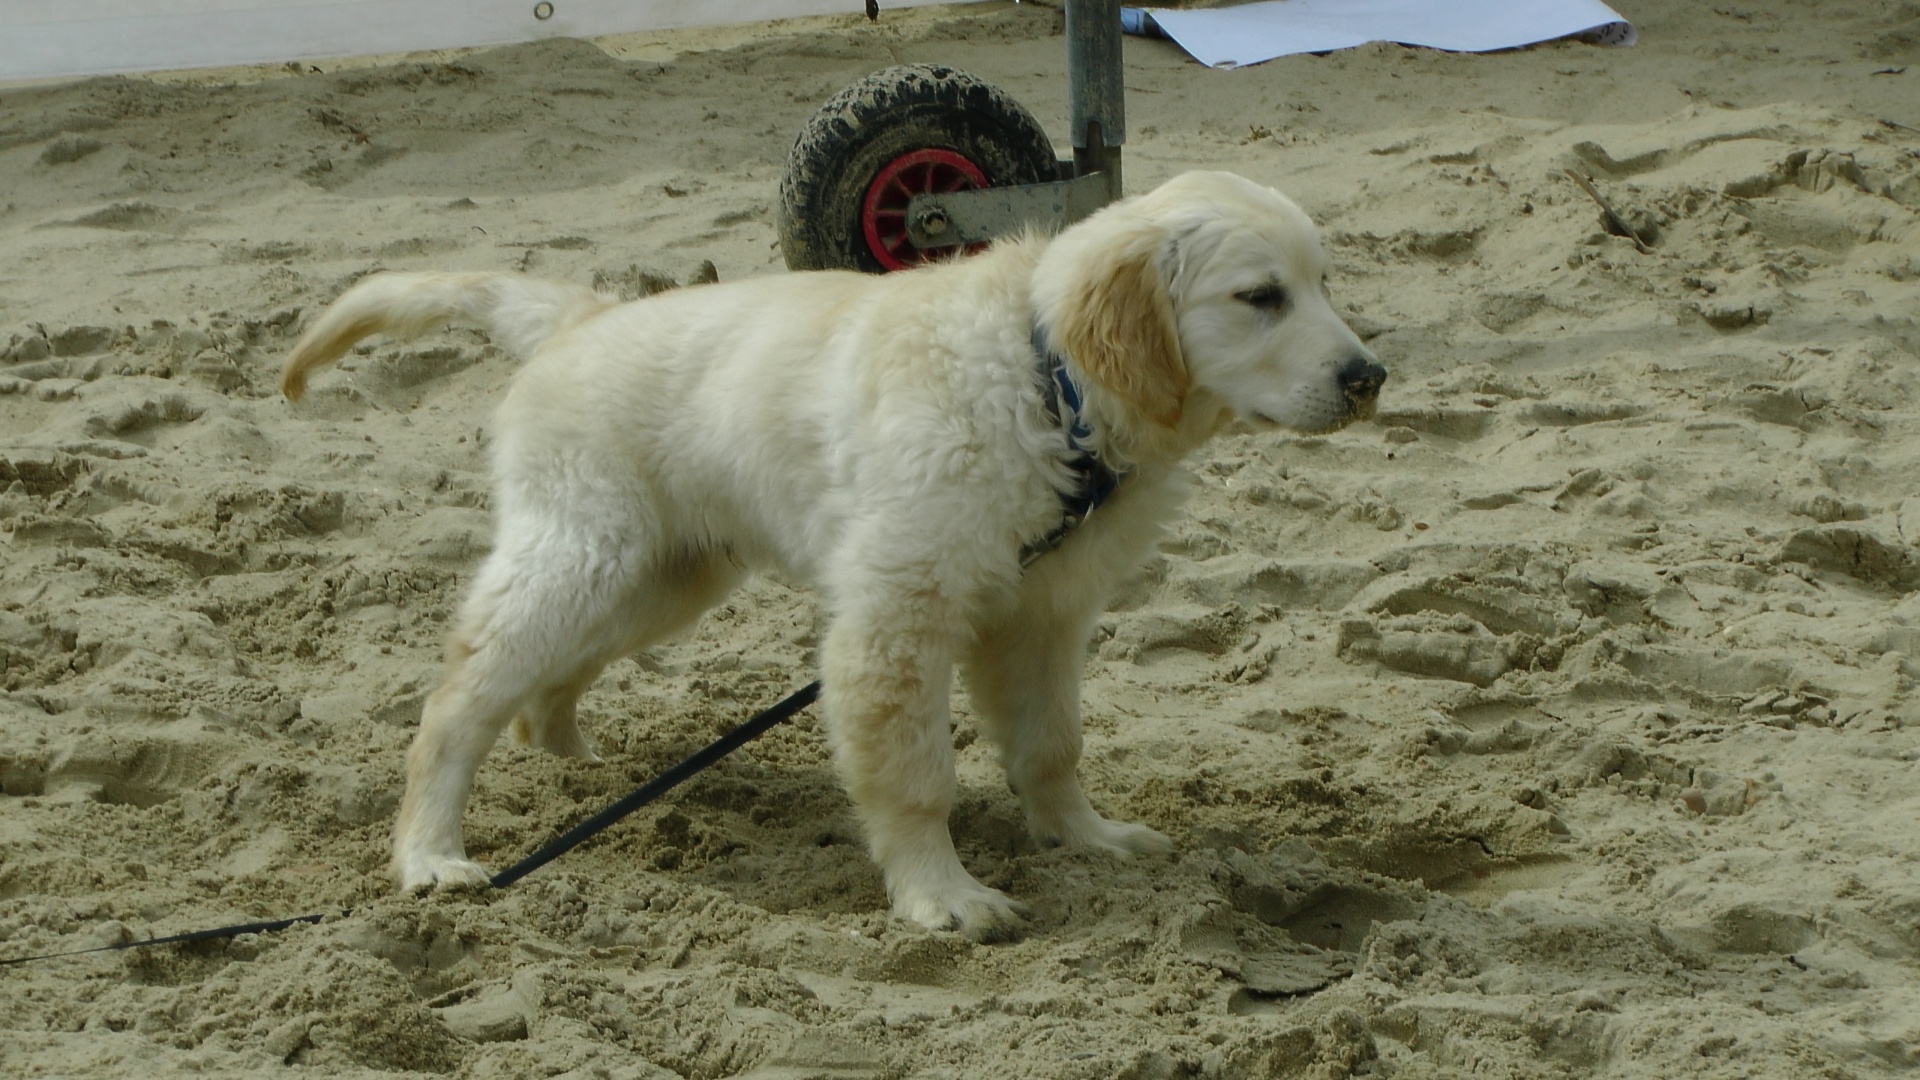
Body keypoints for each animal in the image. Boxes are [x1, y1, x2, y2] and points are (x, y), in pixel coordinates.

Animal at [280, 168, 1382, 933]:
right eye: (1260, 297)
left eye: (1327, 284)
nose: (1369, 377)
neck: (1046, 383)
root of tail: (584, 317)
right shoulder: (900, 608)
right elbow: (917, 775)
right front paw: (943, 896)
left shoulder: (1042, 611)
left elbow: (1052, 744)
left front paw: (1086, 837)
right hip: (584, 550)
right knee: (460, 697)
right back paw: (432, 854)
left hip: (664, 572)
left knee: (546, 678)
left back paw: (579, 764)